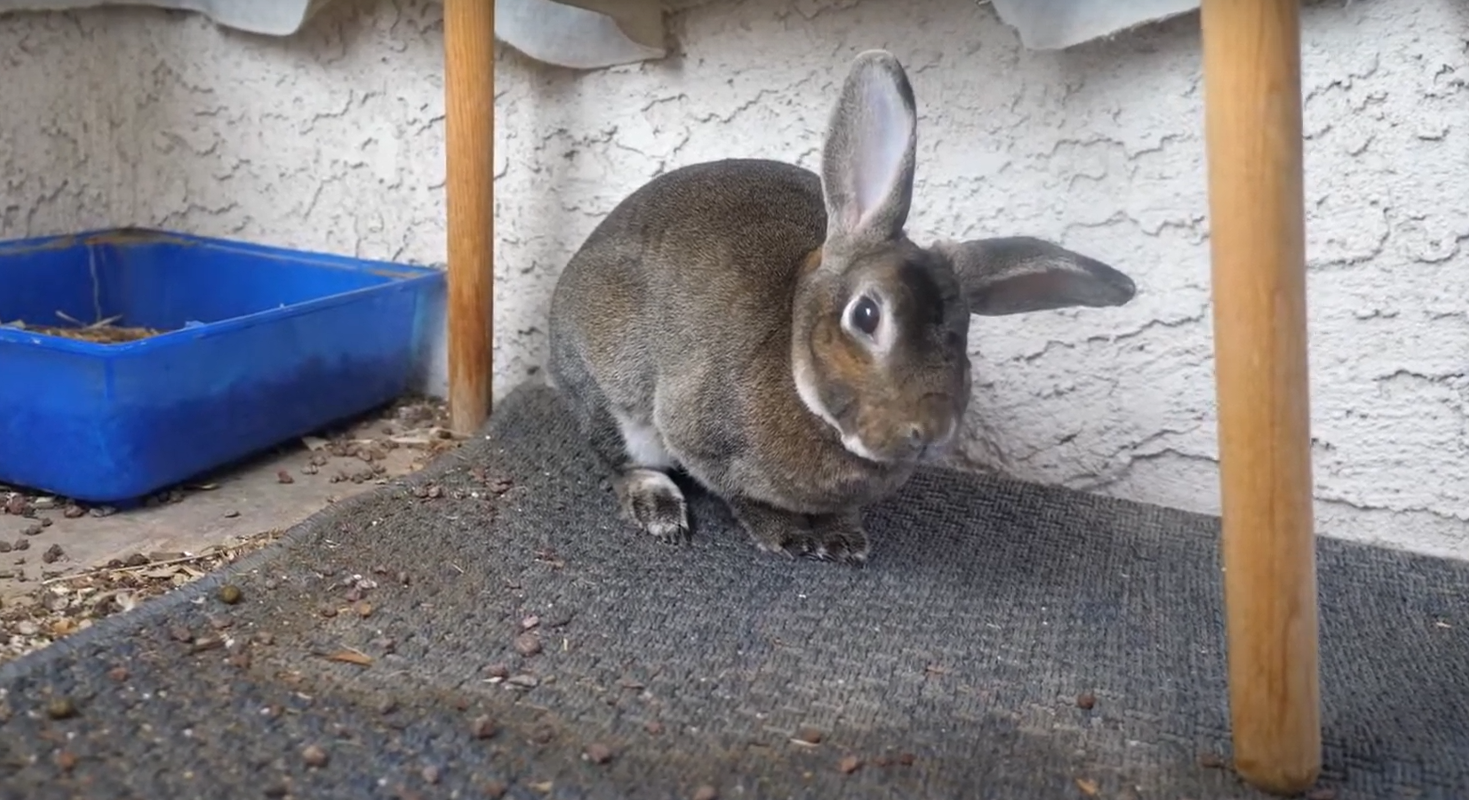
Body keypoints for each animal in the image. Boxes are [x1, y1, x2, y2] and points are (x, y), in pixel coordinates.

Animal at [546, 49, 1137, 566]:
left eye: (966, 332)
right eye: (867, 315)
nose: (929, 431)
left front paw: (844, 539)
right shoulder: (694, 431)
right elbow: (743, 496)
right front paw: (785, 536)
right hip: (613, 396)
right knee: (616, 457)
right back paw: (658, 508)